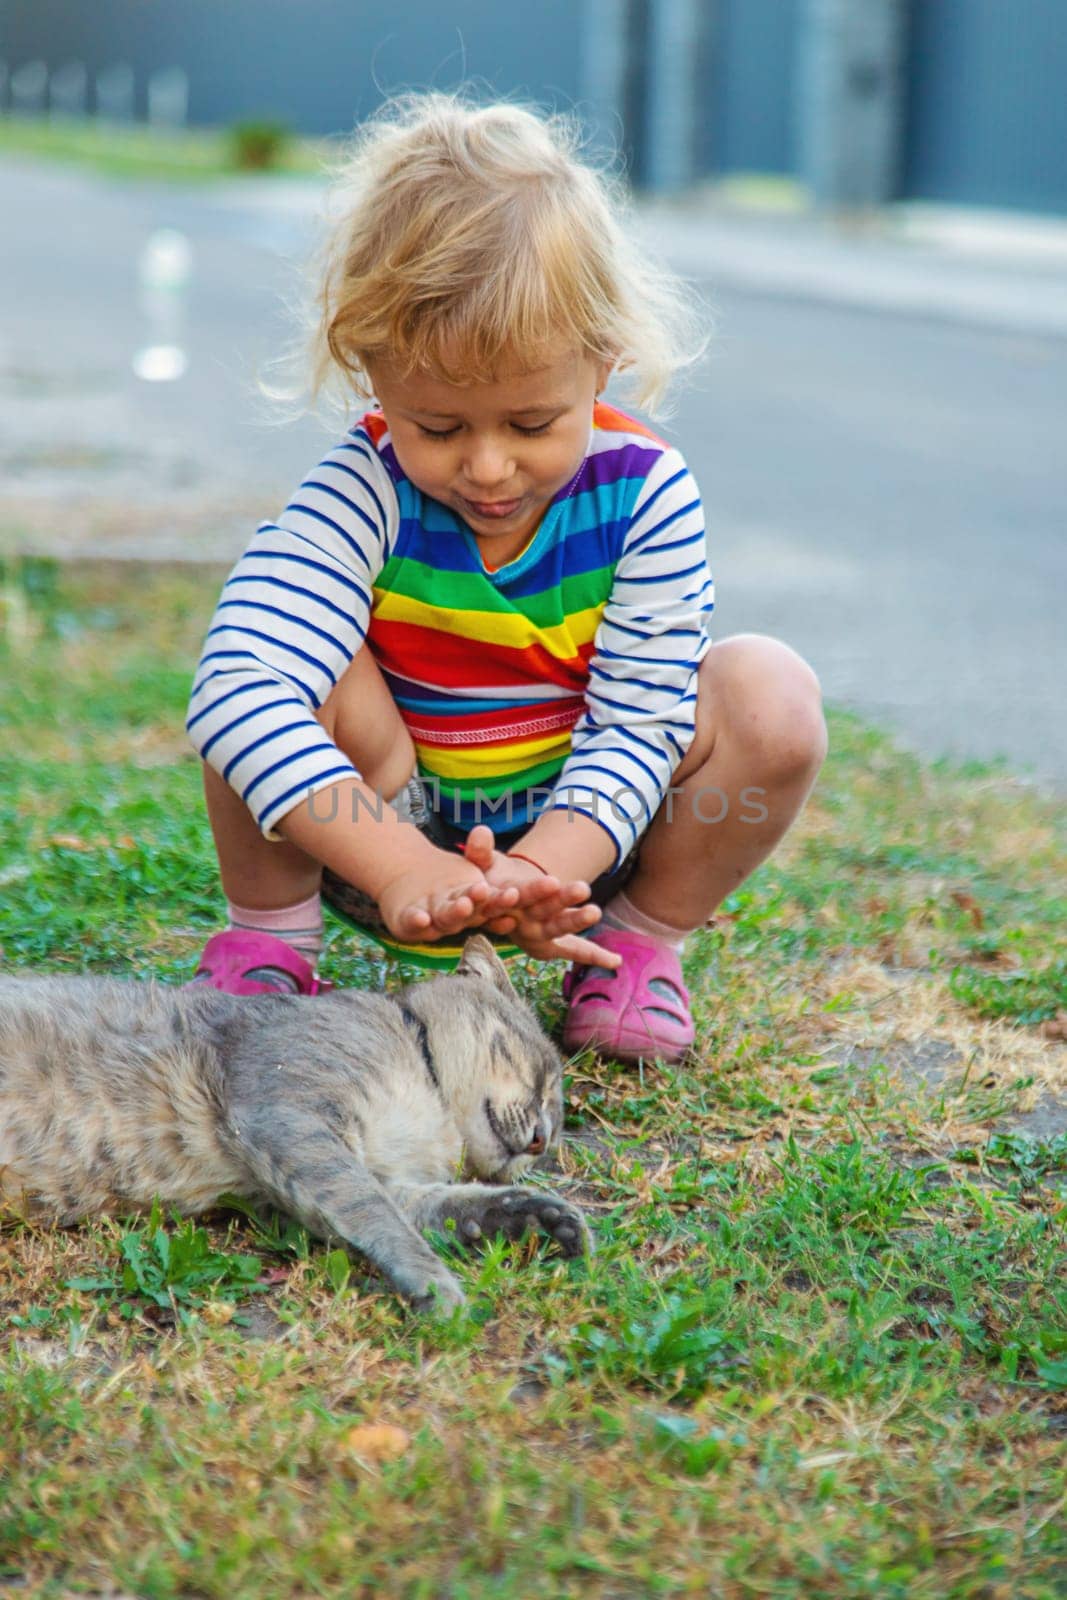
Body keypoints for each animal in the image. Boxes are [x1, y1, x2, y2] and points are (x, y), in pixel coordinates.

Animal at [0, 934, 588, 1312]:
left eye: (555, 1131)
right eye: (542, 1077)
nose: (540, 1141)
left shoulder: (362, 1182)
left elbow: (452, 1206)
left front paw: (537, 1215)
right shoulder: (290, 1119)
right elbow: (381, 1219)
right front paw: (437, 1285)